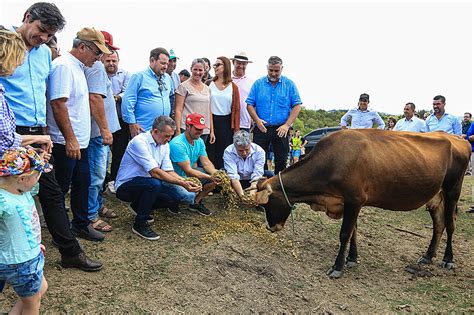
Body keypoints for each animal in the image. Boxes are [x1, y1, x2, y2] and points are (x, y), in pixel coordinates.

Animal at [254, 128, 472, 278]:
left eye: (266, 204)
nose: (270, 227)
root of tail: (456, 138)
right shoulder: (349, 203)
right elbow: (353, 233)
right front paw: (351, 258)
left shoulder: (354, 199)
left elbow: (345, 233)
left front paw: (337, 267)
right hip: (436, 196)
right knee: (439, 224)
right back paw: (428, 255)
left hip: (453, 190)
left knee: (450, 224)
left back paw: (448, 259)